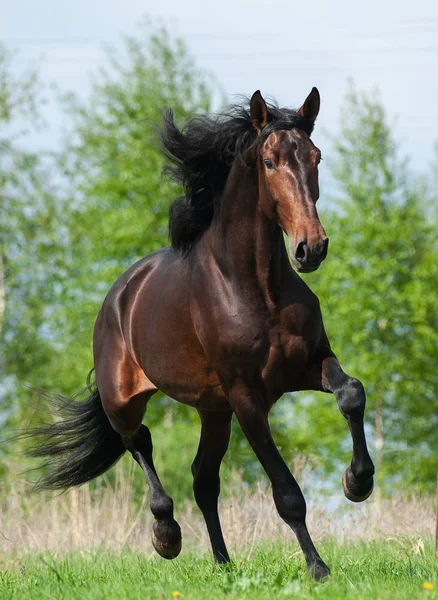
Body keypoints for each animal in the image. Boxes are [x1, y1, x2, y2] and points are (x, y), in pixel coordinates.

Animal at [26, 86, 372, 580]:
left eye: (316, 157)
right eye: (270, 162)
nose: (312, 248)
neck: (254, 288)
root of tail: (120, 294)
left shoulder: (308, 364)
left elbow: (352, 393)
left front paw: (357, 483)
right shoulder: (247, 396)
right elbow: (287, 493)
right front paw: (318, 568)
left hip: (214, 410)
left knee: (202, 479)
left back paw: (224, 565)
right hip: (126, 401)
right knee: (139, 442)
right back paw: (166, 536)